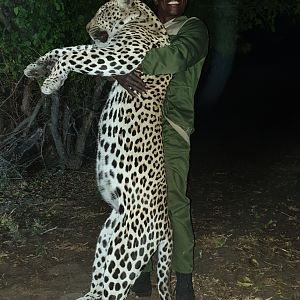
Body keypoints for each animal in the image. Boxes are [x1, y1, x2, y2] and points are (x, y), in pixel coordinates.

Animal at [23, 0, 172, 298]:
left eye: (103, 12)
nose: (87, 27)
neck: (146, 18)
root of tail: (166, 225)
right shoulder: (109, 52)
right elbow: (64, 49)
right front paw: (37, 67)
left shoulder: (119, 54)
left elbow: (72, 52)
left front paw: (51, 81)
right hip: (108, 235)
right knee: (100, 282)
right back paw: (87, 294)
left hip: (127, 250)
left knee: (114, 290)